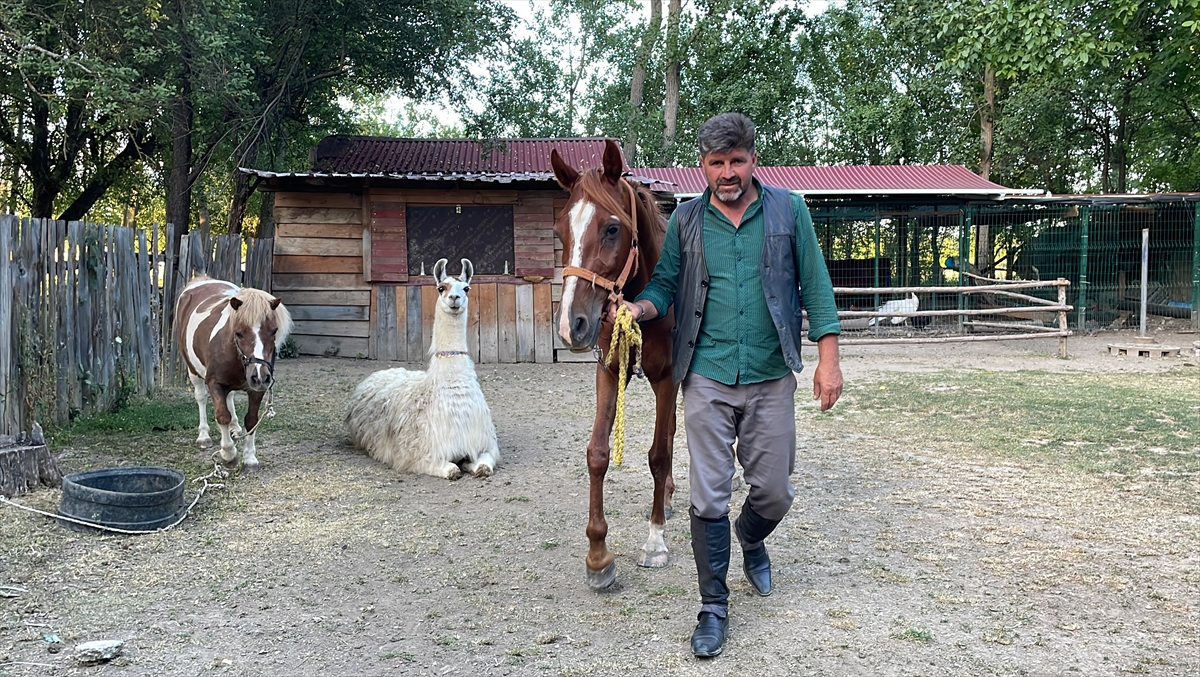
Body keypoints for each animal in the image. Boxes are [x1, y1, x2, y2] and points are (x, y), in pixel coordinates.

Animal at [174, 274, 292, 470]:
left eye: (274, 331)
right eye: (238, 333)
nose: (260, 376)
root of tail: (201, 281)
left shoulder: (255, 389)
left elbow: (251, 420)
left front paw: (250, 458)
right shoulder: (214, 383)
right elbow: (222, 416)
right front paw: (228, 454)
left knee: (229, 397)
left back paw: (235, 429)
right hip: (193, 371)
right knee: (201, 398)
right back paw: (204, 436)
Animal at [345, 256, 499, 477]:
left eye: (466, 288)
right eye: (441, 288)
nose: (454, 298)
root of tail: (384, 371)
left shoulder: (484, 443)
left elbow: (484, 466)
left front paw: (475, 466)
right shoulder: (416, 453)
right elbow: (451, 470)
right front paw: (456, 468)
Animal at [549, 138, 681, 592]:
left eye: (611, 229)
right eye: (561, 231)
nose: (571, 325)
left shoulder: (668, 378)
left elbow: (659, 455)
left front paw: (655, 543)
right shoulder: (608, 373)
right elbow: (597, 454)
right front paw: (597, 555)